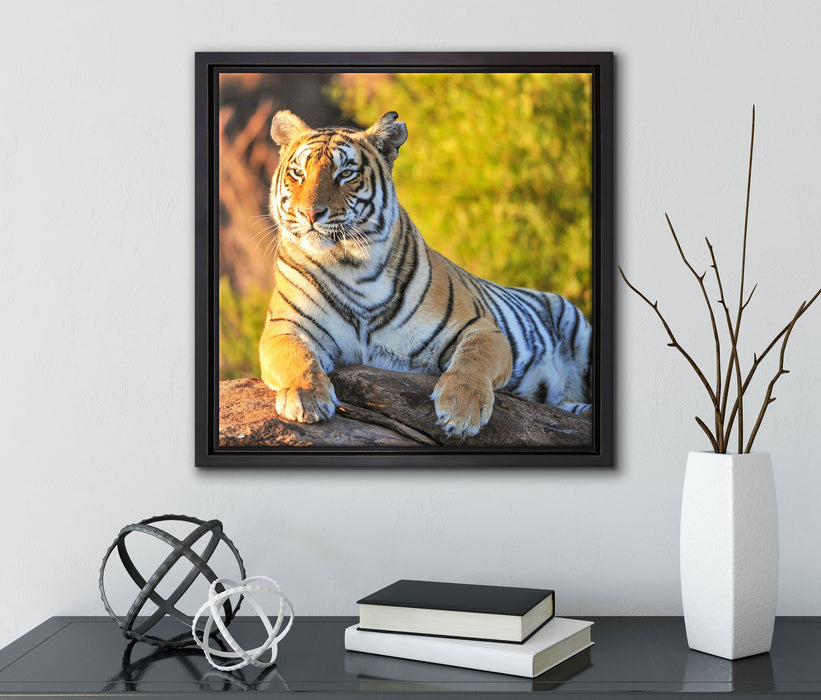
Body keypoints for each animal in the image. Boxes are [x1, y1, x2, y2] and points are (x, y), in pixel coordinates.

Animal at [258, 109, 592, 439]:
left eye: (346, 174)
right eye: (298, 173)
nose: (310, 213)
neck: (350, 265)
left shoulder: (481, 327)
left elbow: (473, 359)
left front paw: (462, 410)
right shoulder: (284, 327)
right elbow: (296, 358)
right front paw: (306, 397)